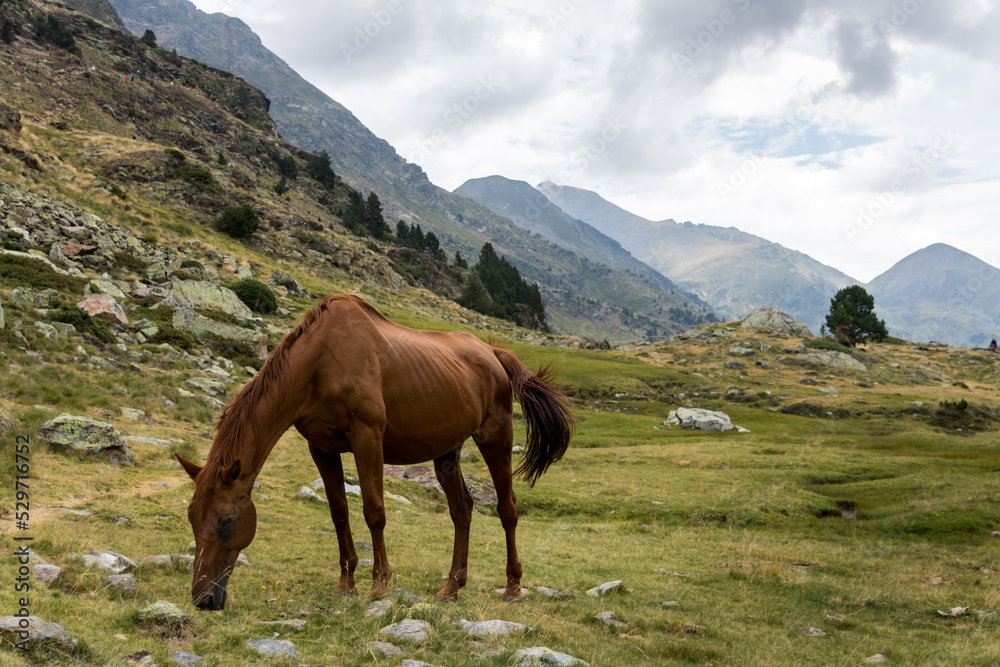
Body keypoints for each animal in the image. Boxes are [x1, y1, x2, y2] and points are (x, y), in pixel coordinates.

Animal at [176, 296, 576, 612]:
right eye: (192, 518)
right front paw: (346, 582)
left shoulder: (367, 438)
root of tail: (492, 352)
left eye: (226, 519)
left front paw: (379, 583)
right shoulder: (321, 447)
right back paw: (451, 587)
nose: (203, 599)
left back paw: (513, 587)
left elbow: (374, 512)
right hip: (447, 452)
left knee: (508, 510)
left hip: (495, 438)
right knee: (462, 510)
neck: (320, 363)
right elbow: (339, 512)